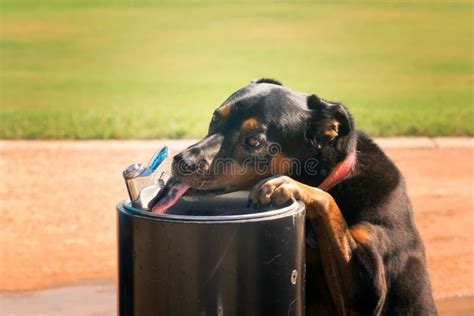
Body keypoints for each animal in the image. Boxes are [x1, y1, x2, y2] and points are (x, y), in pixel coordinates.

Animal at [168, 79, 436, 316]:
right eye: (215, 118)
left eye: (253, 141)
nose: (183, 161)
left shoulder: (370, 292)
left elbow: (327, 201)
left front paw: (290, 185)